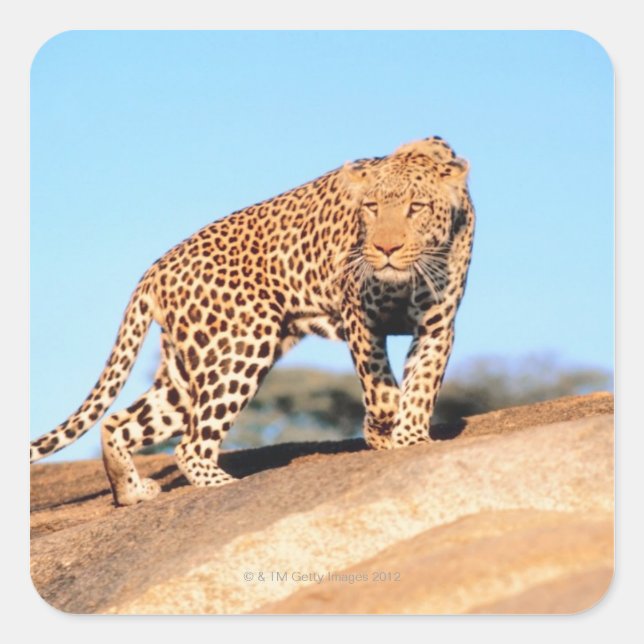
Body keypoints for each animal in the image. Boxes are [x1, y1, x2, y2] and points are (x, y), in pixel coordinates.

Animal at [30, 136, 475, 506]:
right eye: (371, 208)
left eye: (415, 208)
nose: (385, 248)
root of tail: (155, 269)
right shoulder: (360, 316)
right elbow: (380, 387)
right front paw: (382, 430)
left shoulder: (437, 325)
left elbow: (423, 384)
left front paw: (411, 437)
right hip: (242, 345)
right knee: (190, 444)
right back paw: (223, 485)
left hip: (186, 372)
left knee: (117, 423)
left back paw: (132, 493)